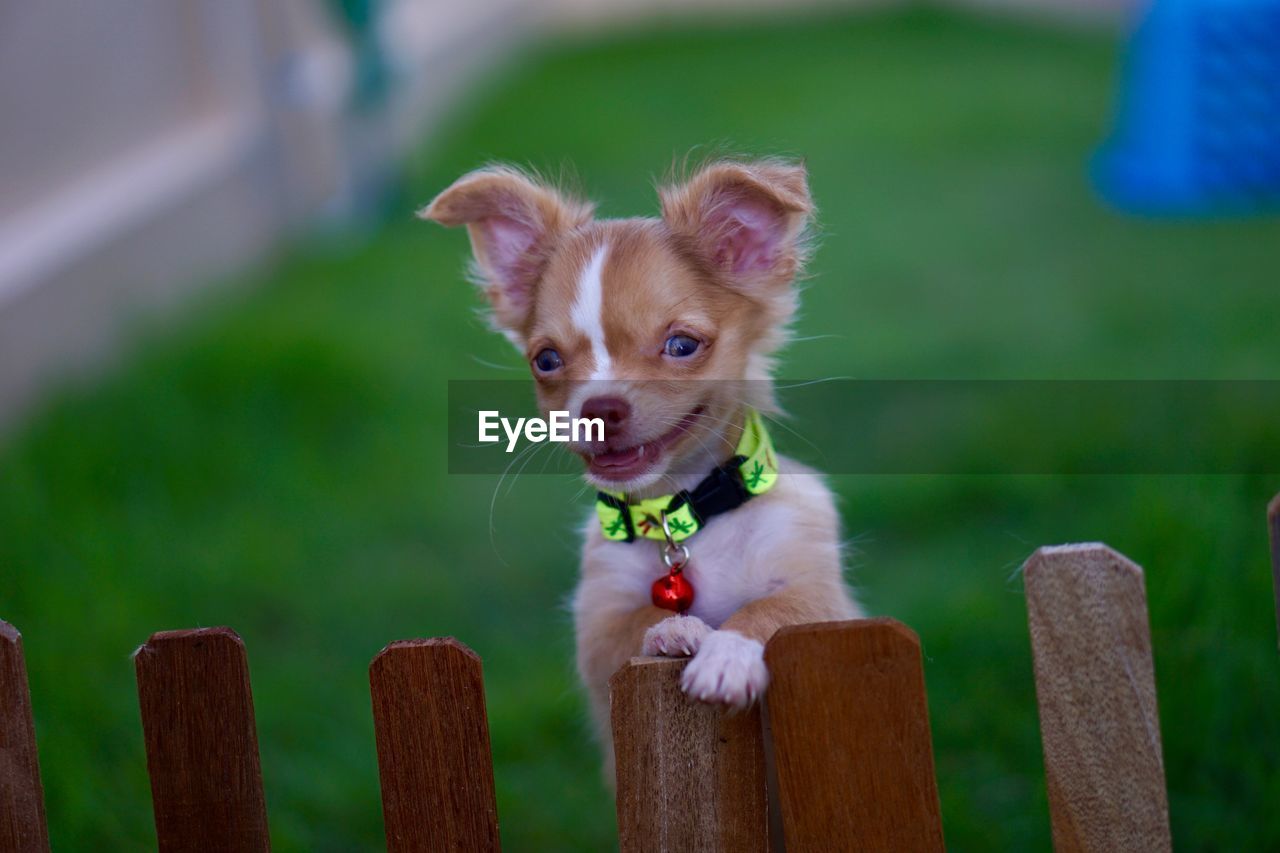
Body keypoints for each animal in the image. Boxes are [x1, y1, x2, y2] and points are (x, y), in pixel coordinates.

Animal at [427, 154, 860, 768]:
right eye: (546, 360)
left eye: (681, 346)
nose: (599, 408)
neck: (684, 518)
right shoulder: (597, 628)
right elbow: (638, 616)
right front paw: (677, 631)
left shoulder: (823, 596)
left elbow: (774, 610)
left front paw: (727, 653)